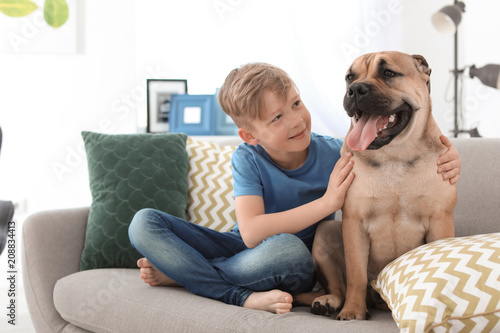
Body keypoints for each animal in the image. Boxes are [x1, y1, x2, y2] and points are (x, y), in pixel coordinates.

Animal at [296, 51, 458, 320]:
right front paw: (352, 311)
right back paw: (328, 301)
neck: (395, 156)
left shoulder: (440, 220)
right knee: (338, 286)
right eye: (349, 77)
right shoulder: (354, 222)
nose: (355, 89)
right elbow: (356, 275)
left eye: (389, 73)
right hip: (325, 233)